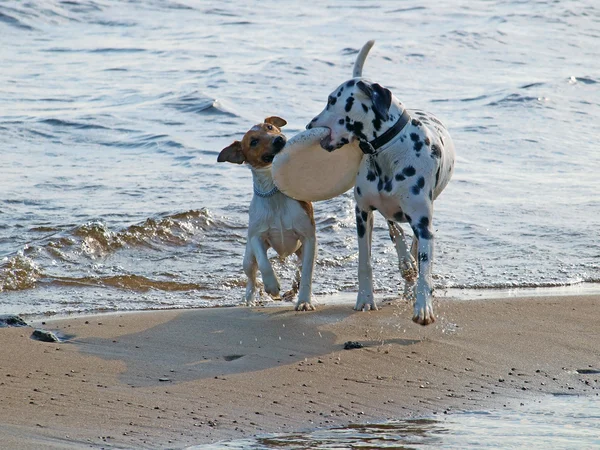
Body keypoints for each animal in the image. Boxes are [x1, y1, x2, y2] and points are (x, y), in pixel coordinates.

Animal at [217, 116, 318, 312]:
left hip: (303, 250)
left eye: (270, 127)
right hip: (248, 258)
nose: (278, 139)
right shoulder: (256, 236)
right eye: (253, 142)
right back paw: (249, 299)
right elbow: (264, 263)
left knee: (300, 267)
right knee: (251, 278)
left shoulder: (309, 237)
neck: (274, 191)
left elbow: (307, 273)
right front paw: (272, 285)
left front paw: (304, 301)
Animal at [310, 40, 454, 326]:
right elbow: (364, 262)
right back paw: (405, 262)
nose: (310, 125)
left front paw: (424, 307)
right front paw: (365, 299)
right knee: (395, 231)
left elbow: (425, 266)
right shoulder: (362, 213)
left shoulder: (423, 223)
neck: (388, 151)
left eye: (332, 100)